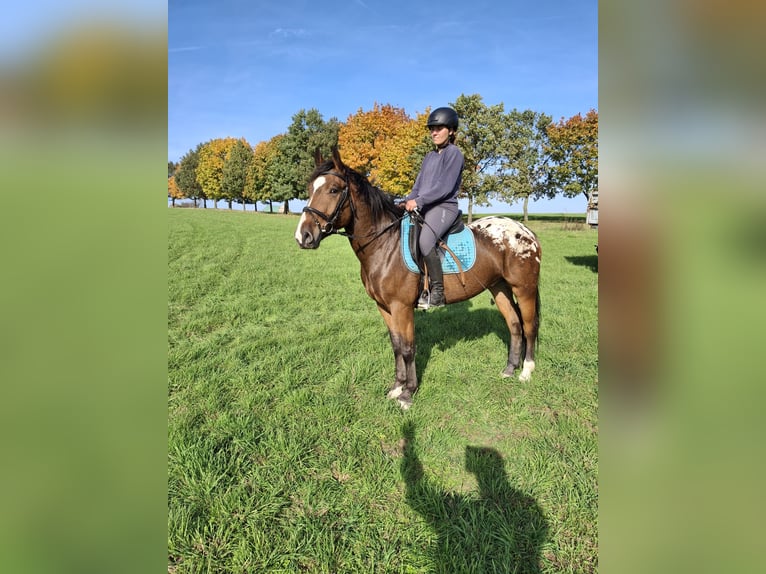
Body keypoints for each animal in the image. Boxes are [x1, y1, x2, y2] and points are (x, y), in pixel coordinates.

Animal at [294, 148, 540, 410]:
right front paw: (396, 387)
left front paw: (408, 393)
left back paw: (526, 372)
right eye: (310, 189)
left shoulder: (402, 307)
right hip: (499, 287)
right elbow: (396, 346)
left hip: (524, 289)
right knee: (514, 325)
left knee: (528, 326)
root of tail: (525, 231)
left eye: (333, 189)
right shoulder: (384, 307)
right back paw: (509, 370)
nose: (303, 236)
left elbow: (408, 348)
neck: (385, 244)